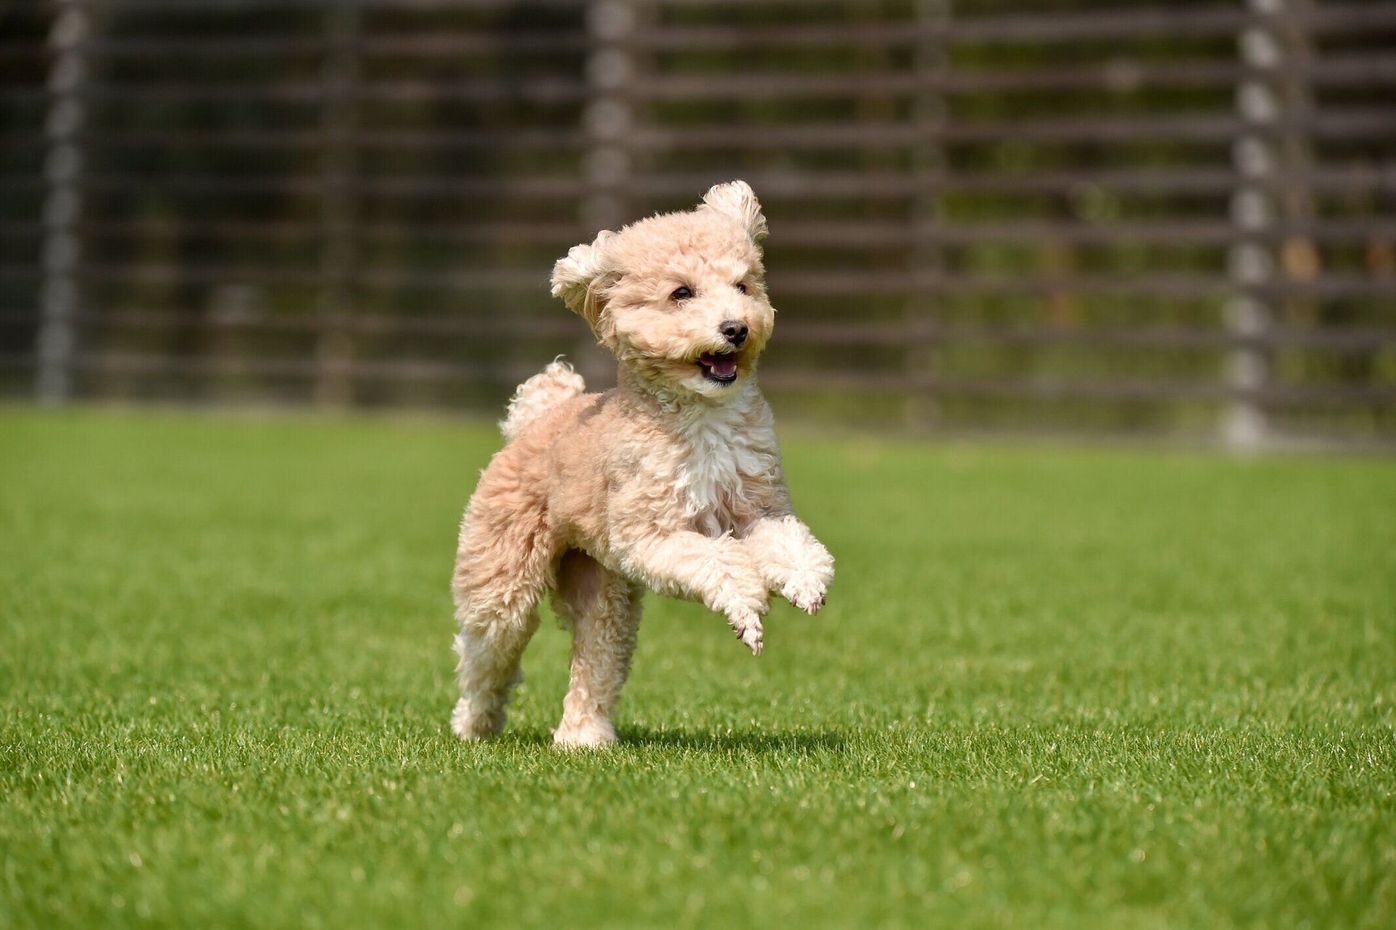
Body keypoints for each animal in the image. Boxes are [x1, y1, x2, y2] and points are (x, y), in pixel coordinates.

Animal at [452, 178, 832, 748]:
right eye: (682, 293)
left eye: (743, 286)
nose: (736, 328)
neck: (700, 418)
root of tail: (536, 418)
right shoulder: (649, 535)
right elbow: (716, 560)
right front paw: (747, 607)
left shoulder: (757, 506)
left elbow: (785, 540)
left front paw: (805, 579)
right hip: (503, 578)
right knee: (486, 652)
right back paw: (473, 725)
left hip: (603, 594)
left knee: (594, 661)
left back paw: (582, 738)